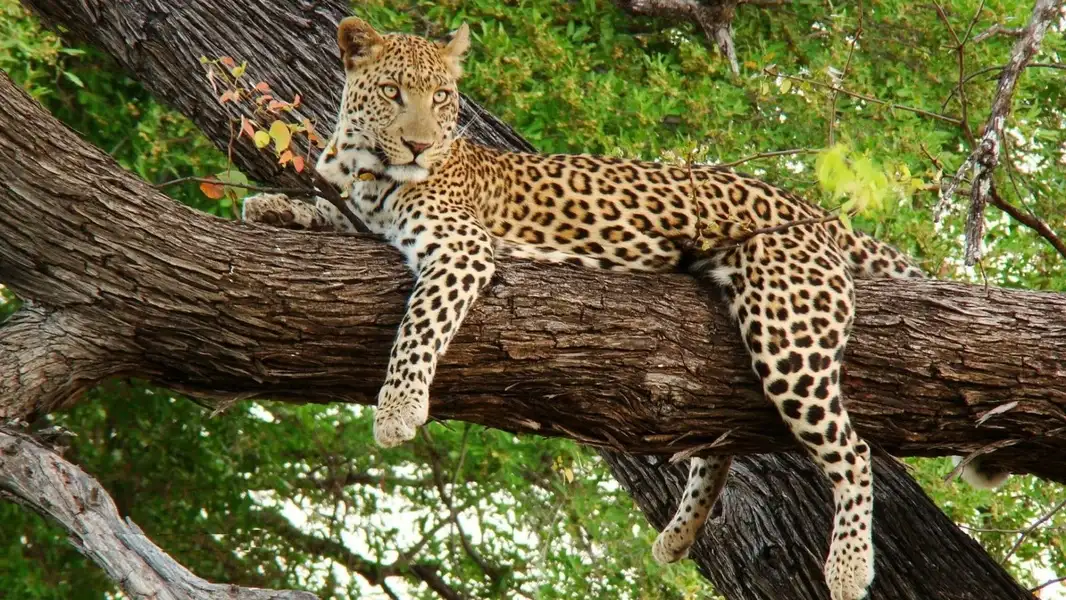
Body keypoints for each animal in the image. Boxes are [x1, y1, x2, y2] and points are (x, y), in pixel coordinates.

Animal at [241, 16, 1004, 600]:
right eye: (394, 92)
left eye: (445, 96)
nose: (421, 144)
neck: (366, 166)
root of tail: (813, 210)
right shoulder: (367, 219)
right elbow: (329, 215)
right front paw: (274, 206)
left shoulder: (461, 250)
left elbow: (420, 323)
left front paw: (398, 409)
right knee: (724, 440)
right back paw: (679, 534)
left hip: (788, 329)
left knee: (853, 449)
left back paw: (847, 565)